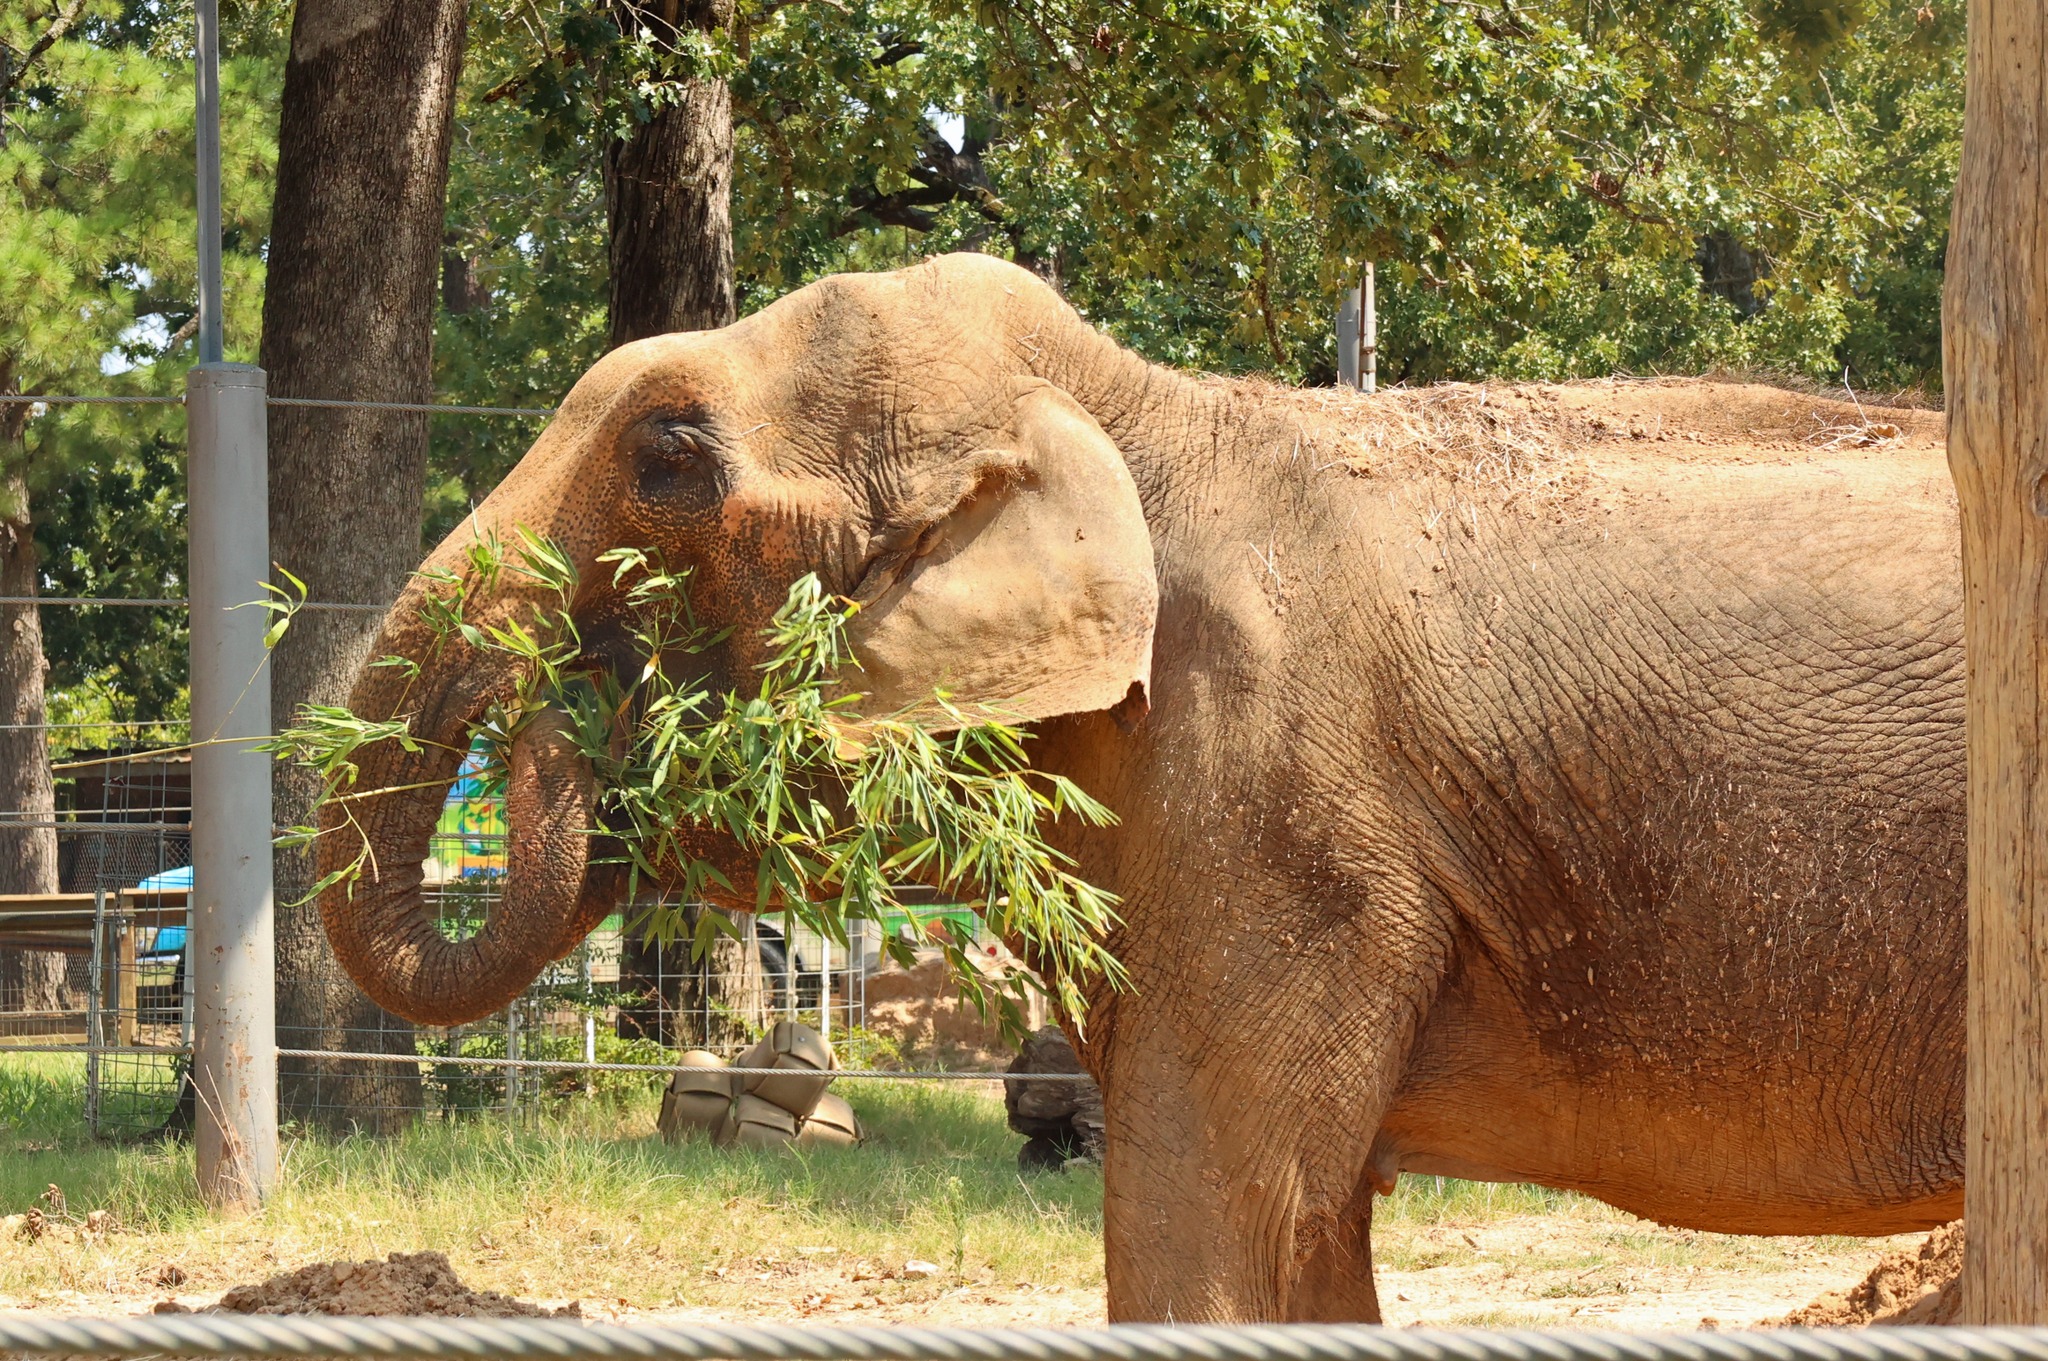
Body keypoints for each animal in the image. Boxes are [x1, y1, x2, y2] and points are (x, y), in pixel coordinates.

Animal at [320, 253, 1966, 1323]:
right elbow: (1303, 1238)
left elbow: (1210, 1221)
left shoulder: (1273, 810)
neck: (1128, 410)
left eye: (668, 455)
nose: (562, 720)